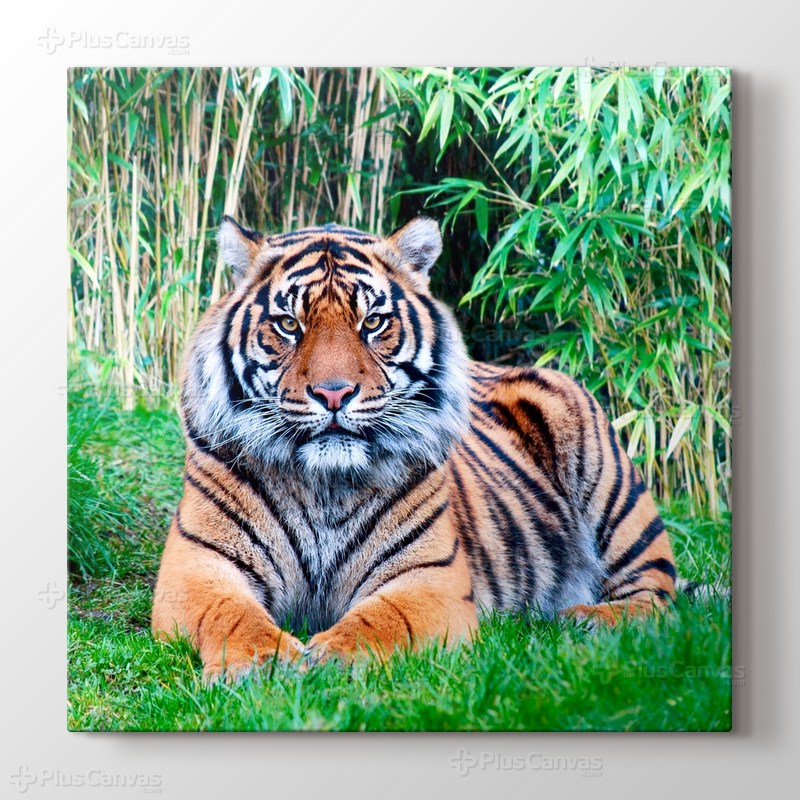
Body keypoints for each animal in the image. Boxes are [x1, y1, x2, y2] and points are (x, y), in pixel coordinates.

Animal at [151, 215, 676, 682]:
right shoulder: (196, 567)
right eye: (288, 325)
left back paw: (590, 618)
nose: (334, 393)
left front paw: (332, 658)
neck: (325, 484)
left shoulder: (429, 576)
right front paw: (263, 664)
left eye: (372, 322)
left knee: (660, 595)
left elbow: (381, 620)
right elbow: (230, 614)